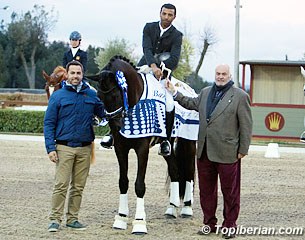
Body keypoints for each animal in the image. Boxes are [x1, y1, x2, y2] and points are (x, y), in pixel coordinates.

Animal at [84, 55, 196, 233]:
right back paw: (171, 209)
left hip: (189, 144)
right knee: (175, 171)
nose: (117, 126)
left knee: (189, 173)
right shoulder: (120, 149)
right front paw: (121, 218)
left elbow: (139, 185)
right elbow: (123, 182)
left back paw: (186, 208)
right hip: (169, 151)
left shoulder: (142, 150)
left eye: (116, 94)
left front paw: (139, 223)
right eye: (99, 96)